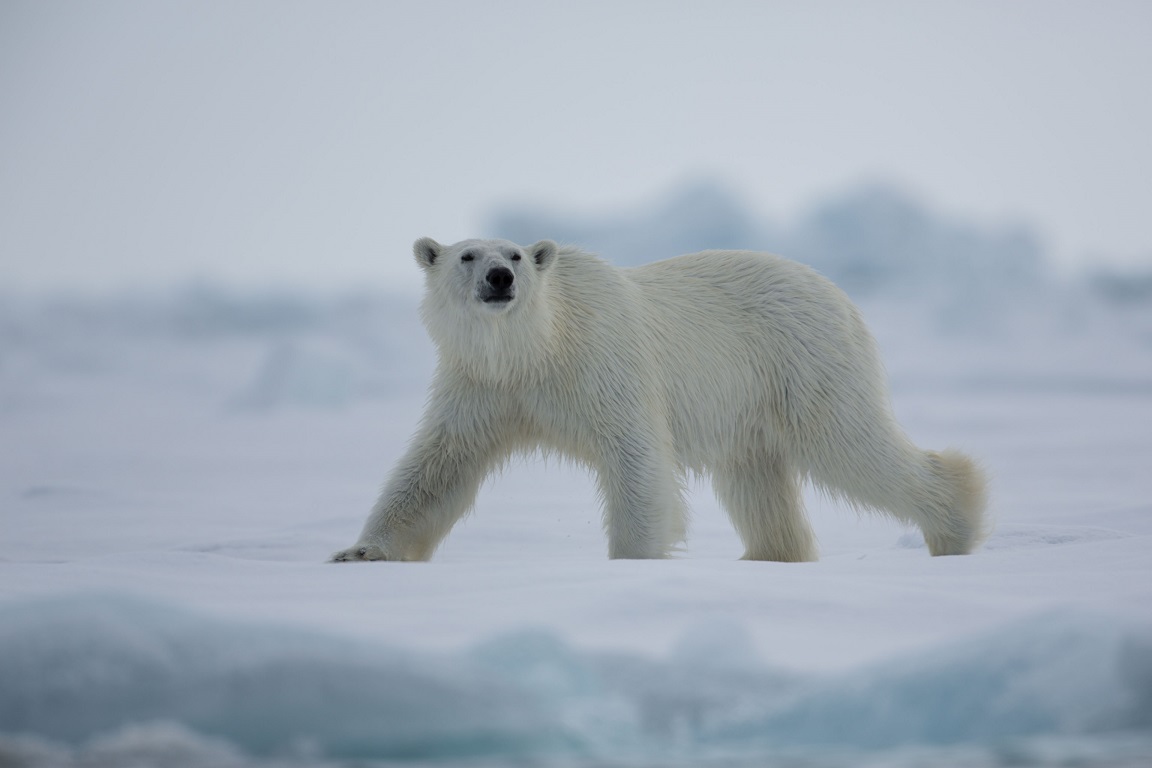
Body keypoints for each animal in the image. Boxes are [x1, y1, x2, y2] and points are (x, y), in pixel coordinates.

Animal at [329, 237, 986, 561]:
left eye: (514, 254)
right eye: (467, 255)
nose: (500, 278)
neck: (537, 348)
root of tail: (840, 295)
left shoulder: (602, 362)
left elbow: (637, 456)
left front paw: (632, 561)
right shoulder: (481, 387)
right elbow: (437, 468)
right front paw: (360, 553)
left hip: (806, 363)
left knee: (853, 447)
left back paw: (957, 525)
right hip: (754, 403)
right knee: (757, 480)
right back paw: (770, 557)